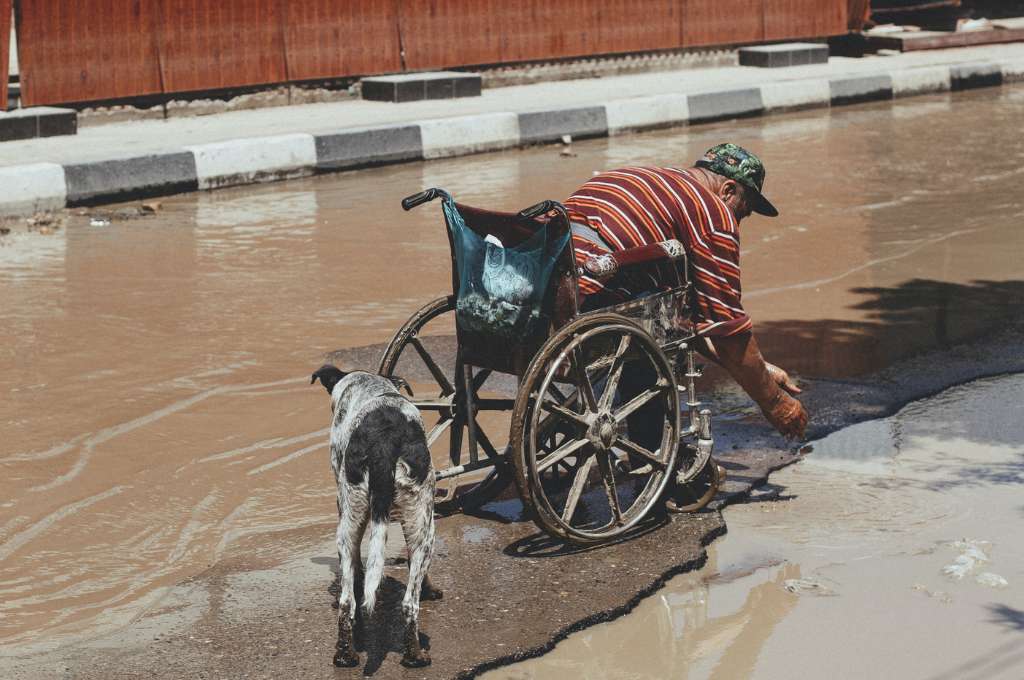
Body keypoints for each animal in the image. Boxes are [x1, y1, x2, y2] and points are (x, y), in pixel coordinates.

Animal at [309, 366, 442, 667]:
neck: (371, 388)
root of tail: (384, 440)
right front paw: (429, 590)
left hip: (348, 525)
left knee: (347, 602)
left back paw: (345, 655)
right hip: (426, 528)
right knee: (409, 604)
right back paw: (415, 656)